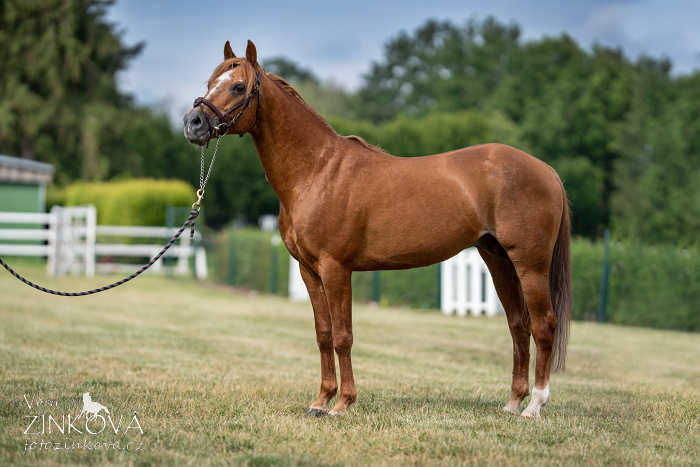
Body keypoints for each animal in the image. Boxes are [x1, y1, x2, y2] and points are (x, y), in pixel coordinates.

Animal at [183, 41, 572, 420]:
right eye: (210, 83)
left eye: (238, 86)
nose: (193, 123)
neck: (317, 171)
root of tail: (547, 170)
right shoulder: (308, 270)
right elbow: (323, 334)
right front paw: (320, 402)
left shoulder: (336, 268)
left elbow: (343, 336)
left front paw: (342, 404)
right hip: (498, 260)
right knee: (518, 325)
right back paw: (513, 402)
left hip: (530, 265)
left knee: (543, 325)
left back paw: (535, 406)